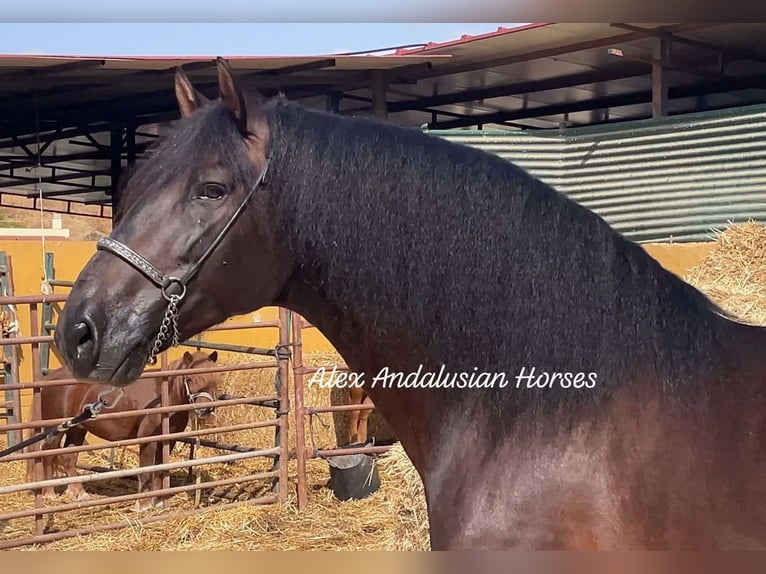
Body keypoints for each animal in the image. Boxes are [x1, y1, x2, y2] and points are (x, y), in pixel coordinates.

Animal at [27, 352, 219, 512]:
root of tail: (50, 378)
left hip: (77, 429)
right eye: (190, 378)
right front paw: (143, 504)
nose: (205, 409)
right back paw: (49, 493)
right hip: (57, 429)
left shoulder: (168, 440)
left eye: (215, 378)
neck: (164, 397)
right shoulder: (147, 439)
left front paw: (157, 501)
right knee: (49, 454)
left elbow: (159, 468)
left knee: (68, 457)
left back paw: (78, 492)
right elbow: (146, 470)